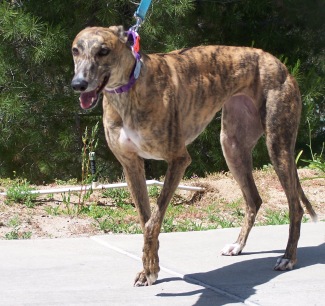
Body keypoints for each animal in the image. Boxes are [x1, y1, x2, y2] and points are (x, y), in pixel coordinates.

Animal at [71, 25, 316, 286]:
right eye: (75, 50)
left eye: (103, 51)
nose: (78, 84)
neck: (130, 88)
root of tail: (278, 63)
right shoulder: (131, 165)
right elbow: (146, 220)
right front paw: (149, 268)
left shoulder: (179, 159)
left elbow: (153, 221)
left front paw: (149, 268)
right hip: (232, 146)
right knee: (254, 200)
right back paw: (238, 245)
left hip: (278, 145)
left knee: (295, 207)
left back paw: (288, 257)